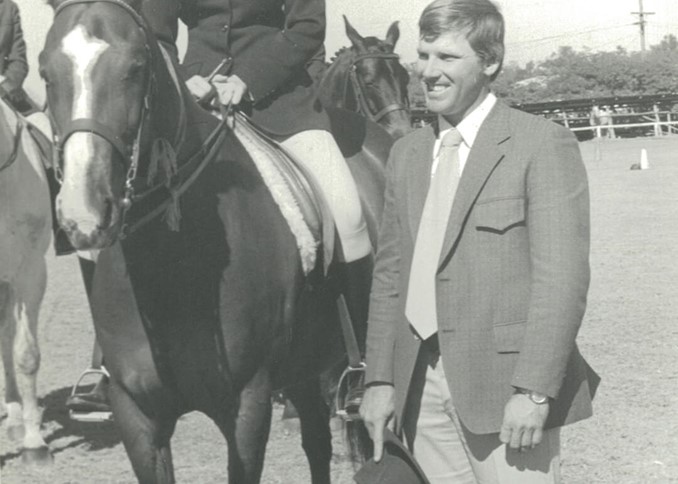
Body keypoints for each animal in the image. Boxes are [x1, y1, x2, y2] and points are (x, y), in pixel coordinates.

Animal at [40, 0, 390, 482]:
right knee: (317, 444)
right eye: (45, 72)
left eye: (136, 67)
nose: (83, 212)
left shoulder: (247, 406)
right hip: (302, 368)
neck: (169, 263)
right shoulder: (137, 416)